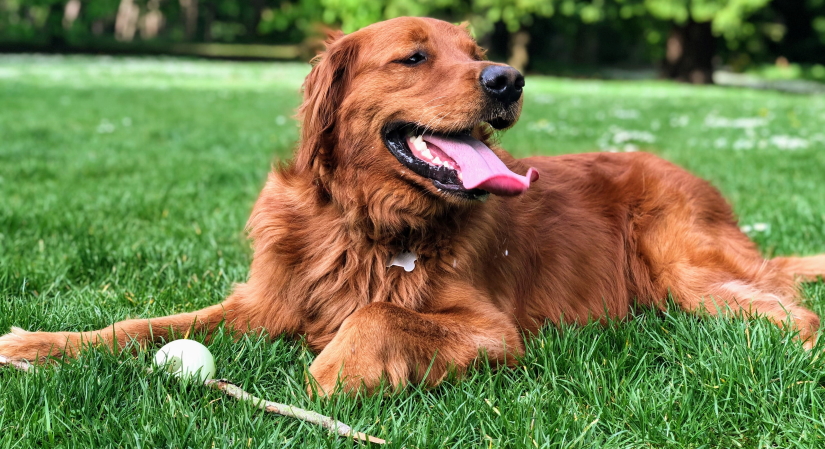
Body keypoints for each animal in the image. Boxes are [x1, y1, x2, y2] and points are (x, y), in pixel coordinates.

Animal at [1, 17, 824, 394]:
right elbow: (139, 324)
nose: (508, 78)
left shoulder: (494, 331)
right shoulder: (262, 302)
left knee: (795, 313)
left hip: (685, 269)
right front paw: (40, 342)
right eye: (415, 55)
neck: (364, 221)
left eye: (476, 51)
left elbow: (375, 313)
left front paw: (331, 373)